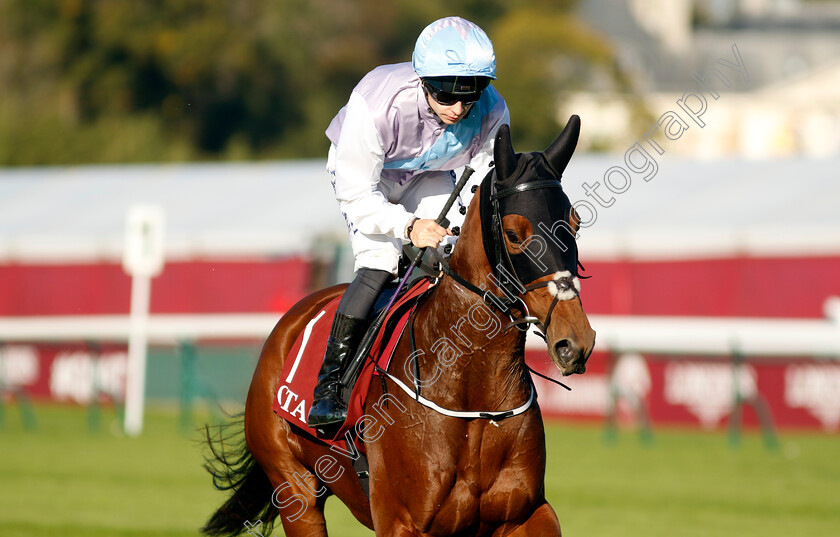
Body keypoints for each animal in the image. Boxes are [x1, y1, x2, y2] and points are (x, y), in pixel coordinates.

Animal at [203, 117, 596, 536]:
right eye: (513, 234)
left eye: (575, 224)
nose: (575, 342)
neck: (474, 395)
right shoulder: (400, 521)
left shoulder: (527, 513)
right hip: (295, 489)